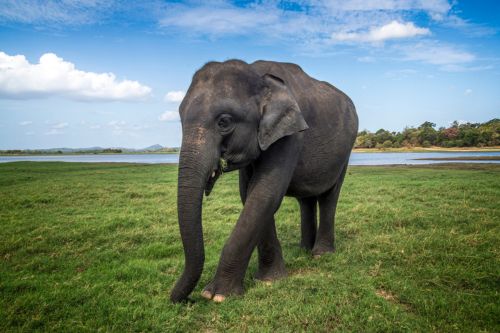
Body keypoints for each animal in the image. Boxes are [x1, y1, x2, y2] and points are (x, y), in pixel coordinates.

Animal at [170, 58, 358, 302]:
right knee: (306, 199)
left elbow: (265, 192)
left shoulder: (291, 134)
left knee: (329, 195)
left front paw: (216, 295)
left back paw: (320, 255)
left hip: (345, 151)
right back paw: (304, 250)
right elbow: (249, 193)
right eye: (180, 118)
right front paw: (269, 280)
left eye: (224, 122)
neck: (257, 74)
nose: (186, 300)